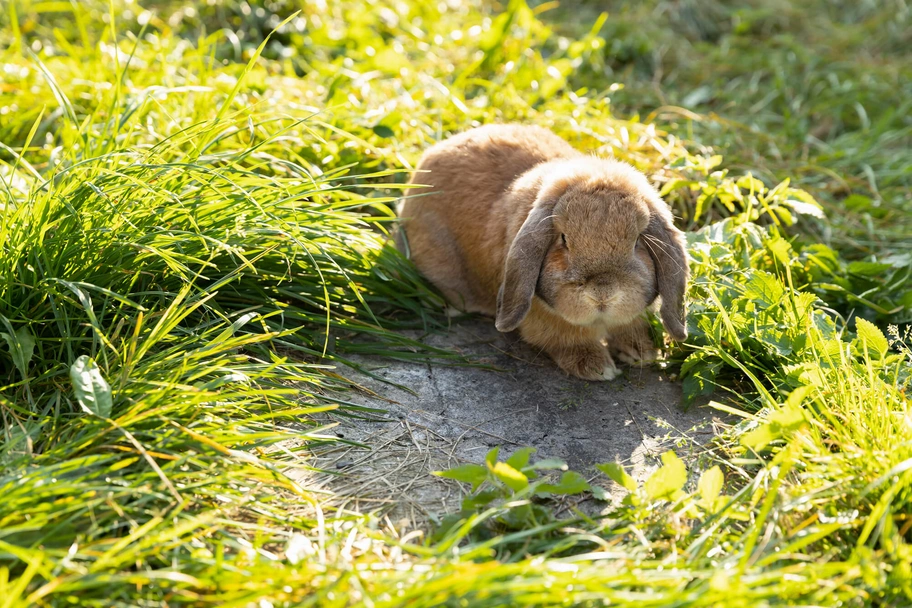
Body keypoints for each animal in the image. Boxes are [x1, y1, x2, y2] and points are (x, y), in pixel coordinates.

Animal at [397, 124, 688, 381]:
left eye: (637, 241)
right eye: (564, 239)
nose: (602, 293)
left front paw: (643, 353)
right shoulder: (544, 321)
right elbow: (565, 339)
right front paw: (597, 368)